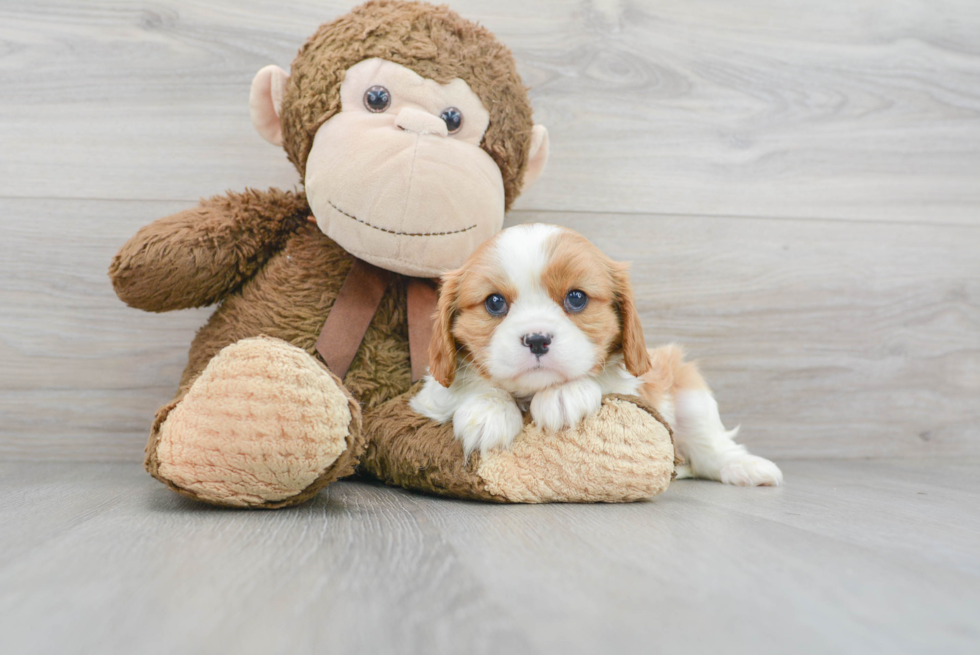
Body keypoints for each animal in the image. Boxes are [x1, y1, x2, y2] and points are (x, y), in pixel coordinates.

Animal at [410, 226, 784, 486]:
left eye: (576, 298)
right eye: (494, 303)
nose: (537, 340)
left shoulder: (635, 386)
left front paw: (563, 394)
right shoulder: (429, 394)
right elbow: (465, 387)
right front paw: (488, 410)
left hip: (689, 391)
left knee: (710, 446)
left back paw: (744, 467)